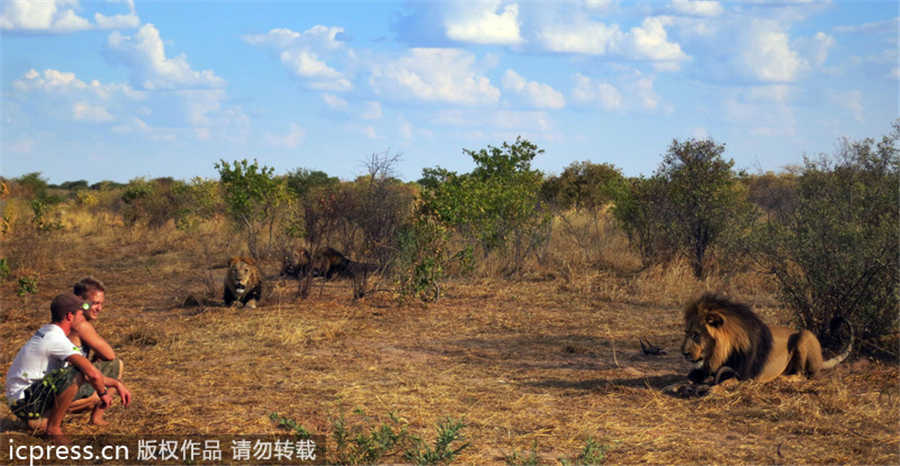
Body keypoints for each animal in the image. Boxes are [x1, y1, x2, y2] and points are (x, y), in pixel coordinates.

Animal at [684, 294, 852, 384]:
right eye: (686, 332)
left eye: (696, 334)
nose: (684, 353)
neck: (719, 353)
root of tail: (820, 359)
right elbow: (688, 377)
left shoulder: (746, 377)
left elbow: (724, 382)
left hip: (804, 335)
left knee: (802, 375)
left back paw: (783, 378)